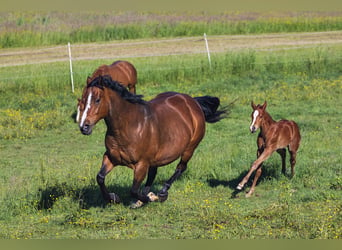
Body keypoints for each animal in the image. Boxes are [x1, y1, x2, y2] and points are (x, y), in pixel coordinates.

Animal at [77, 75, 227, 207]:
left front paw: (150, 198)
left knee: (180, 168)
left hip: (189, 149)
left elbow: (133, 190)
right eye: (83, 100)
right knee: (154, 172)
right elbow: (100, 177)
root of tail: (192, 102)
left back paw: (161, 193)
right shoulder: (111, 157)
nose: (84, 127)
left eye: (97, 100)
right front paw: (114, 198)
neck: (129, 126)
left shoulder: (141, 164)